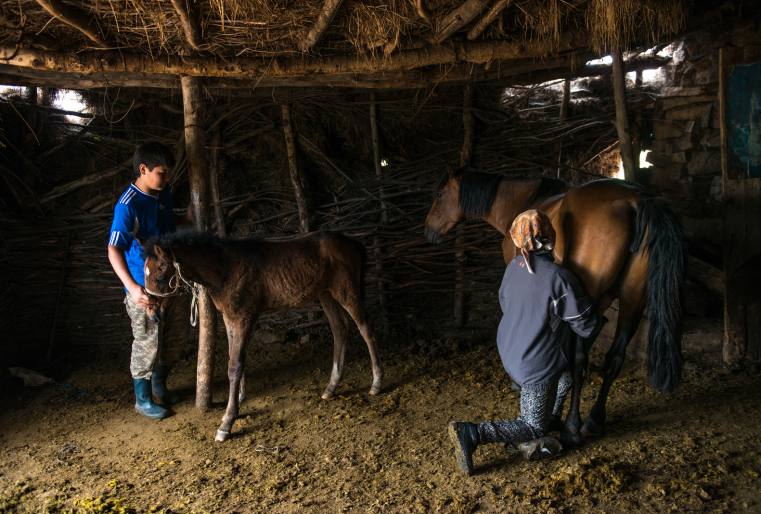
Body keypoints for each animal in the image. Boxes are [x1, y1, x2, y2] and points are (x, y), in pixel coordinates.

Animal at [140, 229, 382, 440]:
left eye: (159, 278)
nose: (152, 316)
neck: (225, 268)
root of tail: (351, 241)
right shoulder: (229, 317)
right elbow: (233, 357)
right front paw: (238, 400)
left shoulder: (245, 316)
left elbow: (235, 366)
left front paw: (227, 421)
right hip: (326, 294)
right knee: (339, 327)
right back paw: (331, 387)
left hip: (346, 291)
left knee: (366, 328)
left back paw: (376, 383)